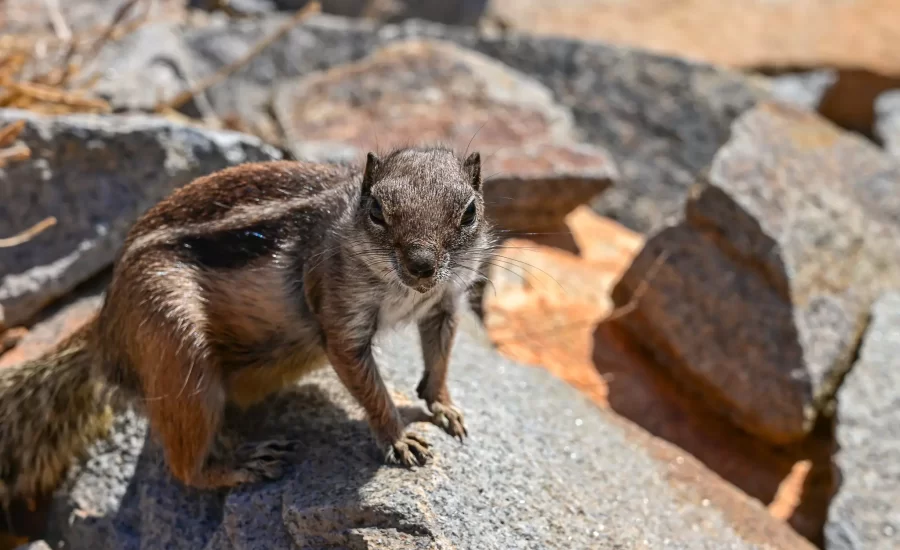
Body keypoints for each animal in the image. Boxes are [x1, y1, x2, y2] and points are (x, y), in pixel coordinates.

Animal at [0, 148, 492, 512]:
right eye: (376, 210)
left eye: (469, 211)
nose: (421, 266)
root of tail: (105, 330)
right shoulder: (341, 313)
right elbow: (369, 387)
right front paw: (399, 438)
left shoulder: (446, 303)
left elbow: (440, 357)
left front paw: (444, 406)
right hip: (176, 341)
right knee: (184, 465)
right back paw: (243, 461)